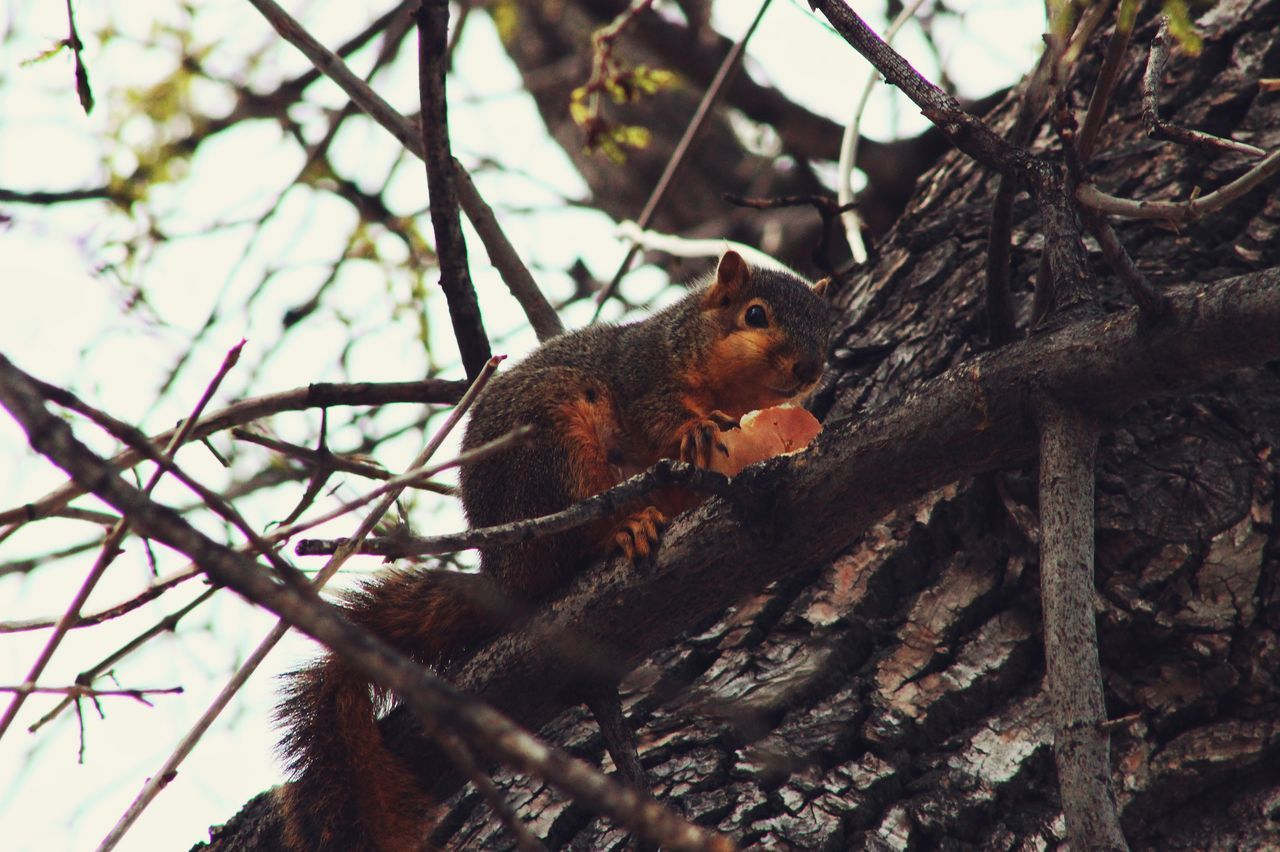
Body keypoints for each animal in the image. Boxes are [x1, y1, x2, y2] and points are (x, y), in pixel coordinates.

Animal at [276, 249, 834, 844]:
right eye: (755, 314)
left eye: (827, 329)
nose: (809, 369)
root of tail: (503, 573)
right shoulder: (642, 373)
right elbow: (658, 415)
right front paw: (696, 429)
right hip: (553, 446)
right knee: (572, 540)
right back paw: (622, 529)